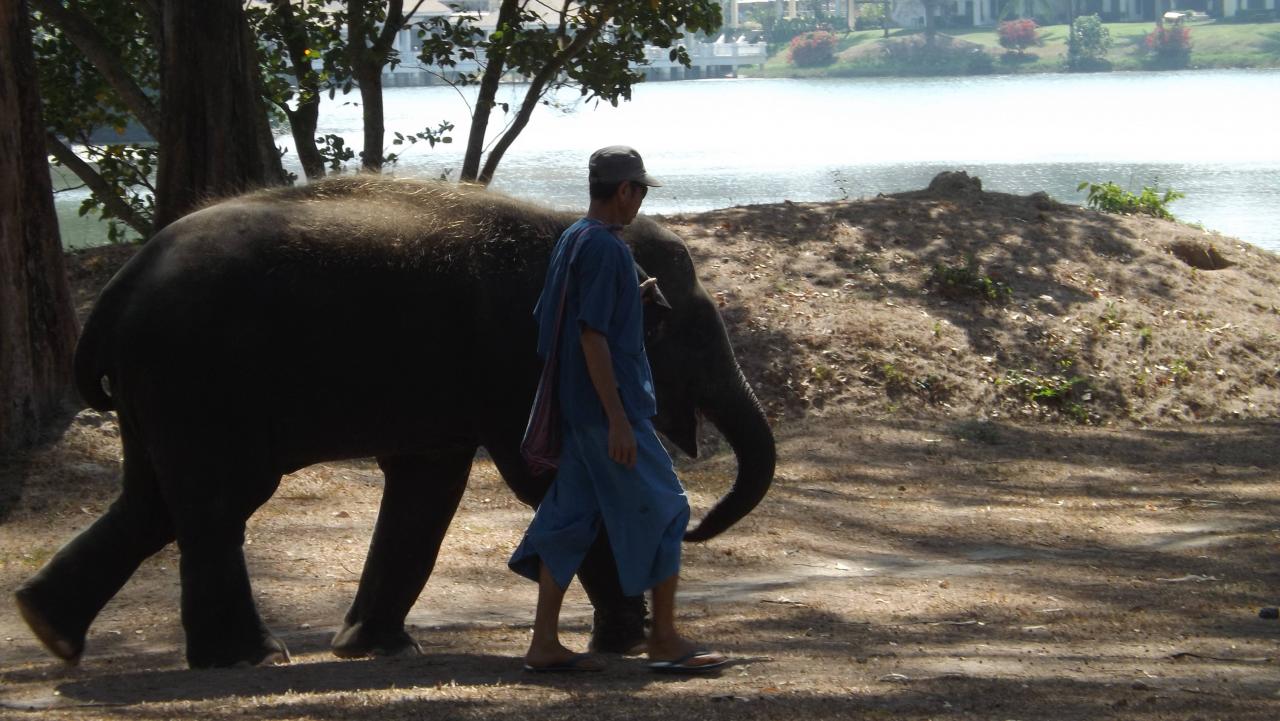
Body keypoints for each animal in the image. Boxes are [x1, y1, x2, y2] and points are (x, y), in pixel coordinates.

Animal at [14, 177, 776, 669]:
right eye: (677, 331)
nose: (700, 524)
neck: (564, 220)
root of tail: (117, 290)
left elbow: (427, 486)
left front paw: (373, 647)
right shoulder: (520, 355)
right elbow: (542, 479)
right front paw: (626, 639)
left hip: (160, 389)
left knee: (153, 503)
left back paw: (49, 628)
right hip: (196, 378)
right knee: (218, 499)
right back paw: (247, 658)